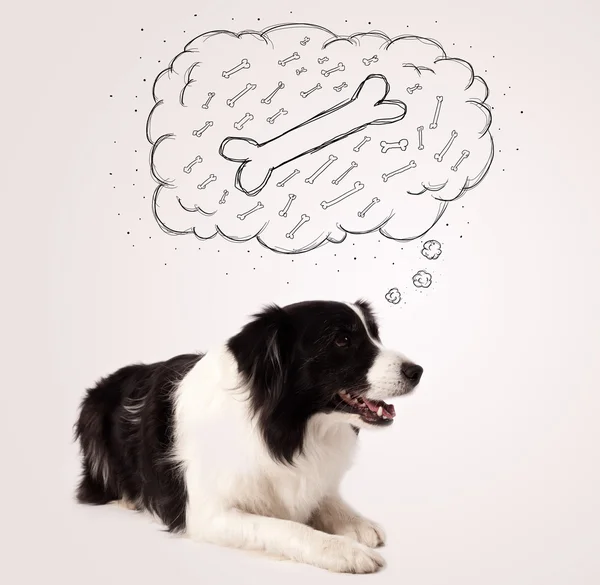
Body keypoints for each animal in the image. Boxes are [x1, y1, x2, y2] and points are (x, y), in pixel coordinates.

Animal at [74, 298, 422, 572]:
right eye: (342, 340)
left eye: (374, 335)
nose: (417, 371)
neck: (286, 429)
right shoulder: (208, 514)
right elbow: (287, 528)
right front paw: (343, 550)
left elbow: (322, 497)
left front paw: (356, 522)